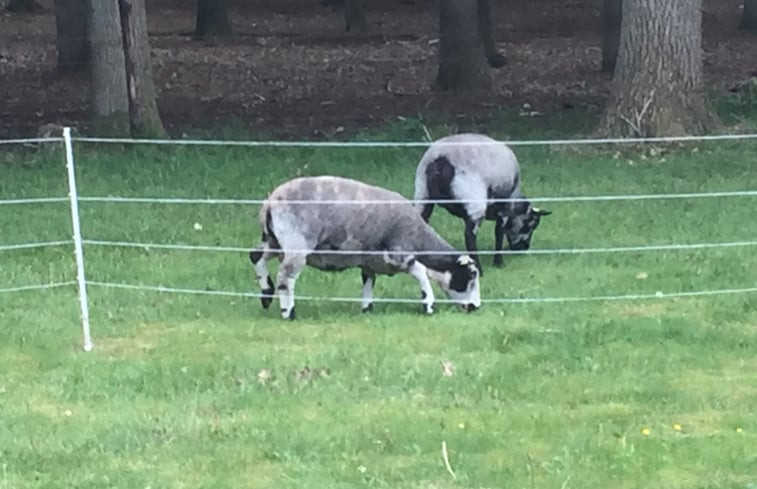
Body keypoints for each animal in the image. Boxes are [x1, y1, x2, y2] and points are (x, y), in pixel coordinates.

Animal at [251, 173, 482, 318]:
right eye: (471, 276)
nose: (475, 307)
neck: (420, 239)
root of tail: (271, 202)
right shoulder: (398, 253)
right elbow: (421, 271)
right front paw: (428, 304)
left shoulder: (369, 261)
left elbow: (368, 281)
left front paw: (367, 308)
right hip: (296, 244)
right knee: (285, 278)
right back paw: (288, 312)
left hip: (273, 240)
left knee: (256, 256)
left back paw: (266, 294)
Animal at [414, 132, 548, 272]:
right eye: (530, 225)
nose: (524, 248)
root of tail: (441, 159)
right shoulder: (504, 208)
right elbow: (499, 232)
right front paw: (498, 262)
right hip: (474, 200)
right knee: (470, 235)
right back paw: (478, 268)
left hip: (422, 193)